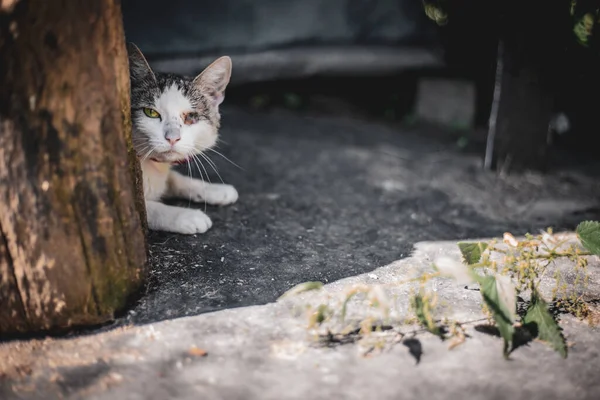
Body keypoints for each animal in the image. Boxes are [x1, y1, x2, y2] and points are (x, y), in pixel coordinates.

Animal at [127, 42, 238, 234]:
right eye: (151, 112)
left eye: (191, 116)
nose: (172, 138)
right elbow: (145, 209)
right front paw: (186, 216)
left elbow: (175, 179)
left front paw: (214, 189)